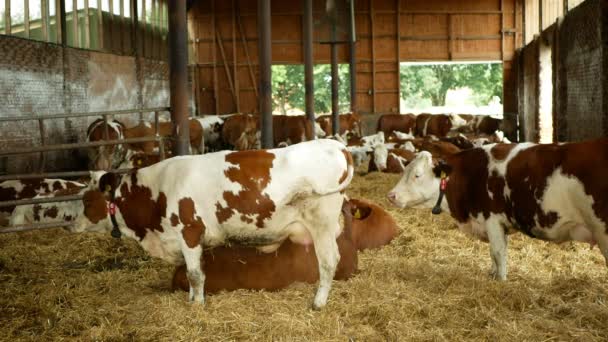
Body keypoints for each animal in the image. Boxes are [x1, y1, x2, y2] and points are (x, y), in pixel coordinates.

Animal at [74, 139, 354, 310]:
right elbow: (196, 271)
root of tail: (335, 145)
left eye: (86, 200)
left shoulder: (189, 231)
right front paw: (192, 299)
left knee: (328, 262)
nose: (70, 224)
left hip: (322, 223)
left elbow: (195, 274)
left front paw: (197, 306)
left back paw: (318, 303)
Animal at [388, 139, 608, 280]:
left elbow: (498, 252)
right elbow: (495, 253)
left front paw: (501, 280)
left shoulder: (492, 218)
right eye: (405, 169)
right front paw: (493, 275)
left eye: (417, 175)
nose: (391, 195)